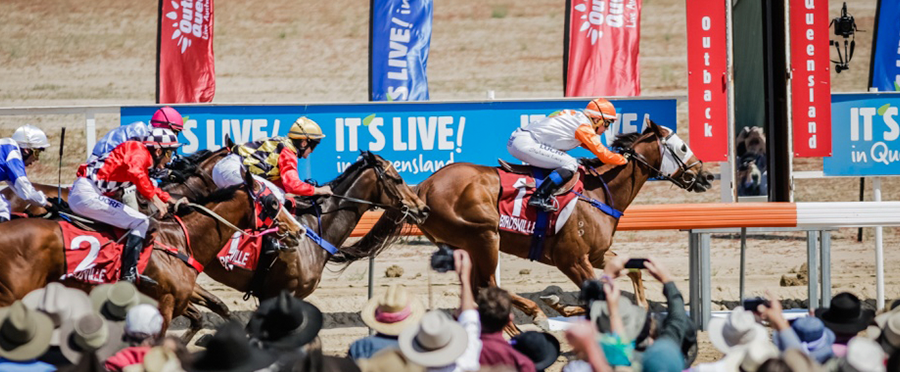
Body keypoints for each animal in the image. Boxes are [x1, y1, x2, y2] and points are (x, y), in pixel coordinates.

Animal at [352, 121, 712, 326]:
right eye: (681, 146)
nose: (706, 176)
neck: (600, 191)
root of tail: (422, 187)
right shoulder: (572, 260)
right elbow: (593, 296)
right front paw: (555, 305)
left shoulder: (596, 254)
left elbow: (632, 272)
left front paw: (640, 308)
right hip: (485, 236)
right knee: (487, 285)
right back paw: (532, 315)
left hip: (462, 244)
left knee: (478, 288)